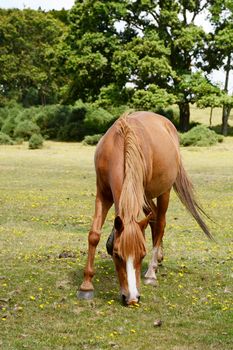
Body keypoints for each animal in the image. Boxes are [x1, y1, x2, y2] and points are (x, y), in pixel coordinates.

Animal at [78, 110, 211, 304]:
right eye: (117, 254)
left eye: (142, 254)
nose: (133, 298)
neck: (121, 145)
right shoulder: (102, 194)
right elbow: (94, 235)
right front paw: (86, 285)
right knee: (154, 219)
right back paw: (159, 258)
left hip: (161, 192)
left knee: (160, 221)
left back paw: (151, 273)